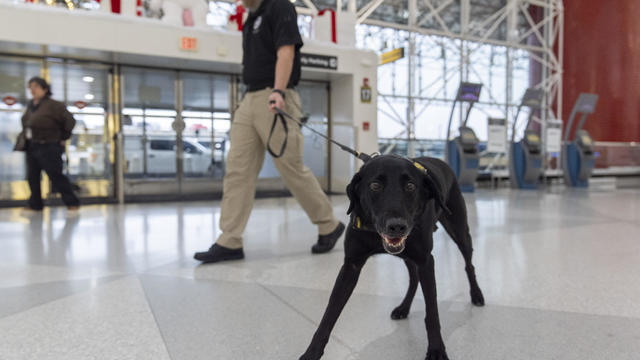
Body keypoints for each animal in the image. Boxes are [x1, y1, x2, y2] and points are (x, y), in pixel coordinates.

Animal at [300, 155, 484, 360]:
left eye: (411, 186)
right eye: (375, 185)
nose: (397, 226)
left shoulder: (426, 261)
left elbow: (432, 313)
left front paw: (436, 349)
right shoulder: (351, 266)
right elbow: (330, 313)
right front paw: (312, 352)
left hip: (459, 231)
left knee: (469, 265)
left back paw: (476, 294)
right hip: (407, 255)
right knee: (414, 279)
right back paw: (404, 308)